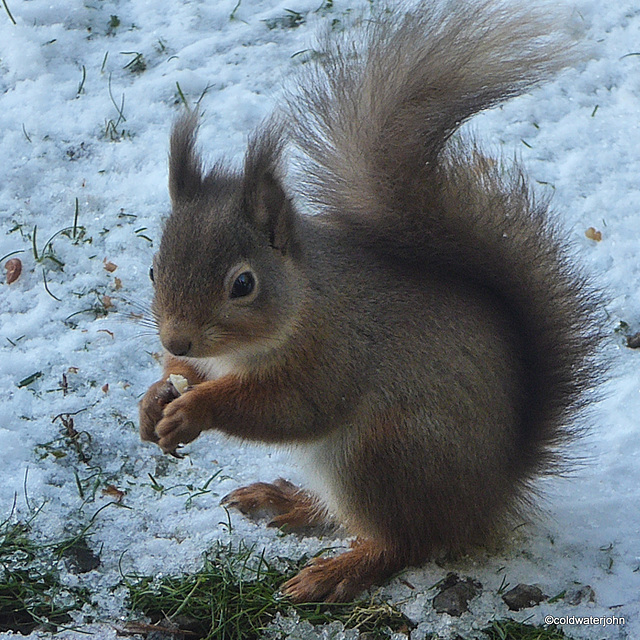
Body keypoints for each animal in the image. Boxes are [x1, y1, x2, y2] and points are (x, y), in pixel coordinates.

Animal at [139, 0, 600, 604]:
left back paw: (338, 570)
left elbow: (294, 407)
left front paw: (194, 409)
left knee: (404, 541)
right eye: (153, 269)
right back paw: (289, 500)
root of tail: (492, 493)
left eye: (243, 284)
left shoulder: (335, 353)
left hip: (381, 453)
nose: (177, 337)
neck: (305, 301)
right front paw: (153, 402)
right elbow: (186, 374)